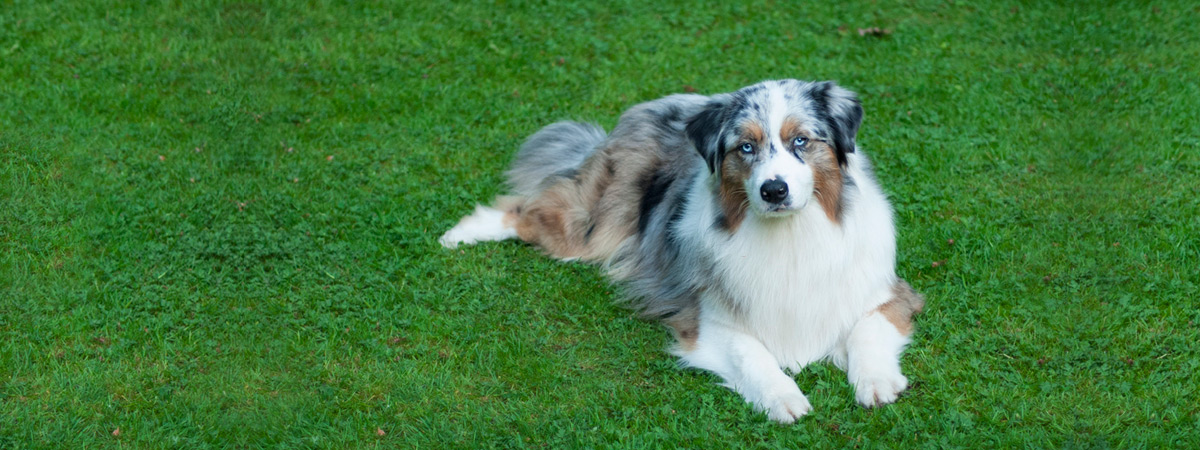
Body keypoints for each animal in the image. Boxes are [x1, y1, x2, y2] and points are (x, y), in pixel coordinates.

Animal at [446, 78, 921, 422]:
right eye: (745, 147)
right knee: (524, 209)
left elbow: (866, 329)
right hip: (590, 227)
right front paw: (782, 397)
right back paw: (460, 233)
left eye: (801, 141)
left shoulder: (889, 293)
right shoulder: (708, 320)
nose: (773, 190)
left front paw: (876, 382)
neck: (791, 234)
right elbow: (754, 356)